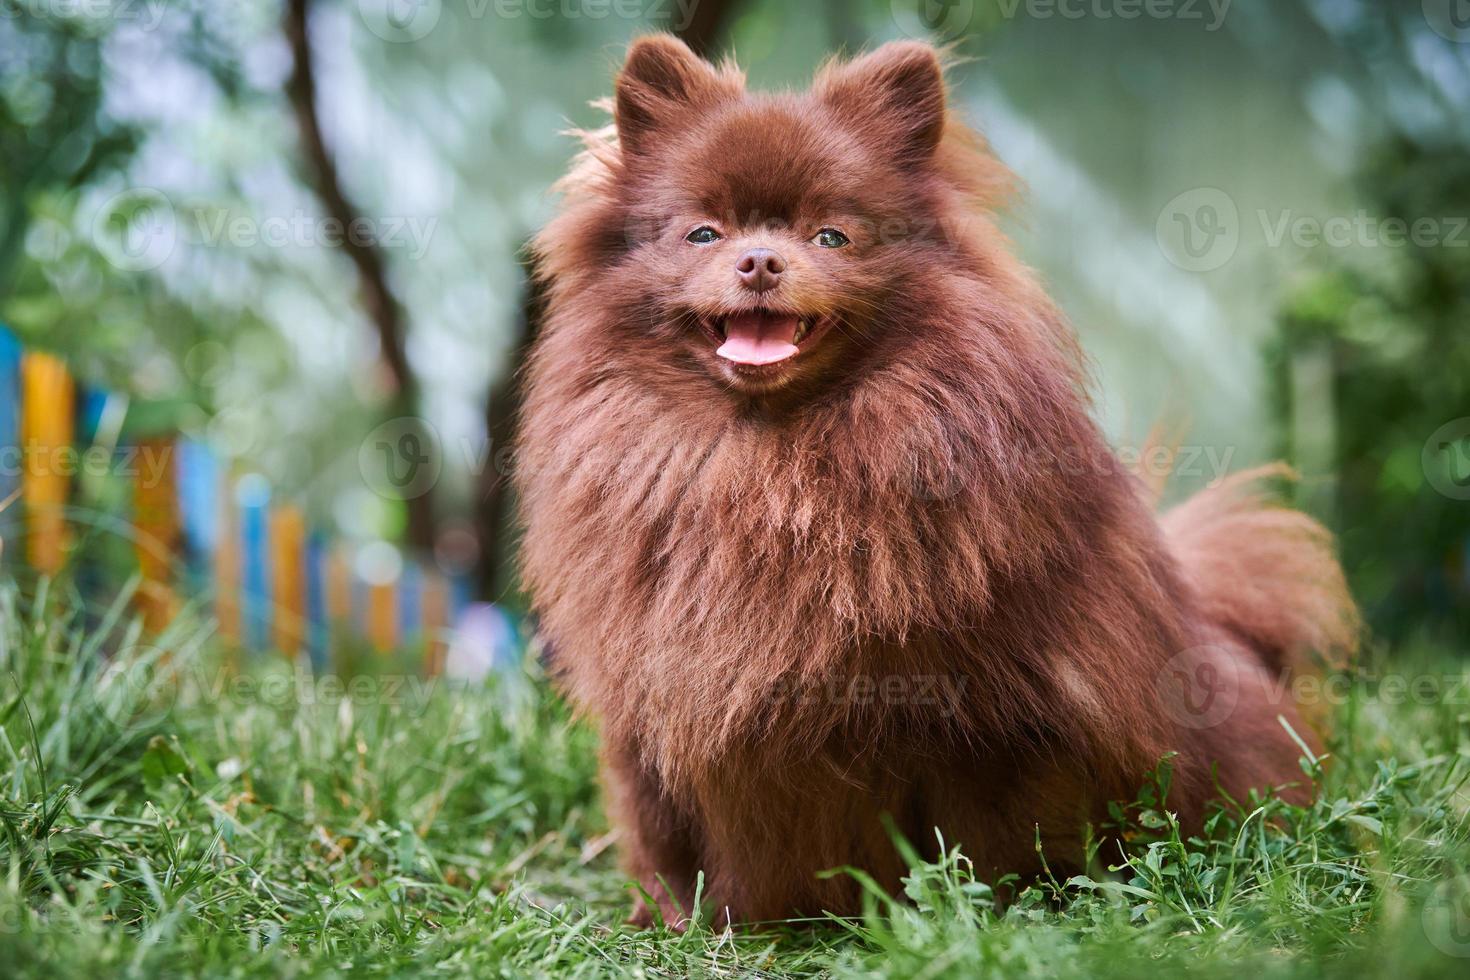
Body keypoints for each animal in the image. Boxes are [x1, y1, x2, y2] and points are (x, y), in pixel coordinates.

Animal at [517, 36, 1352, 928]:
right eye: (702, 234)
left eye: (832, 237)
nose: (759, 259)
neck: (772, 460)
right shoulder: (649, 715)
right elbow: (669, 836)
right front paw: (687, 922)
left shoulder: (987, 719)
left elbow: (980, 832)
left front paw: (974, 912)